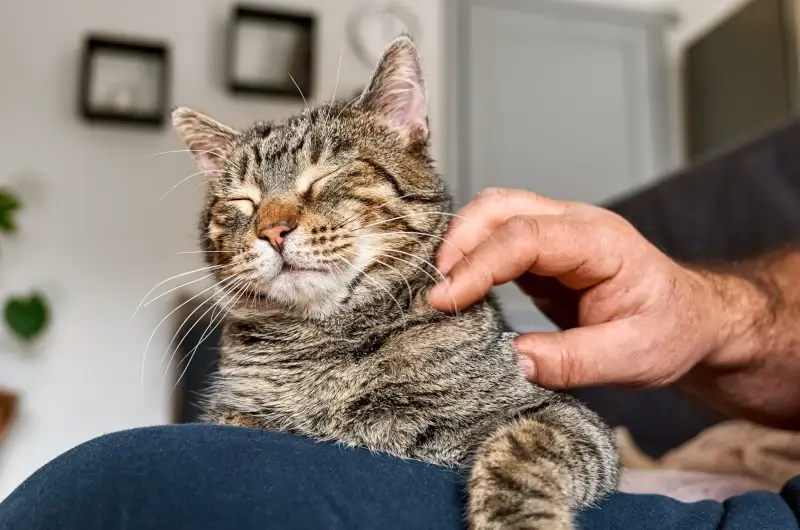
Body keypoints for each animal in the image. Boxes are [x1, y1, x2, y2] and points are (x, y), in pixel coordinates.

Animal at [170, 35, 620, 524]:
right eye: (242, 200)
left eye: (327, 174)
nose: (272, 231)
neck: (330, 344)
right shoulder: (233, 412)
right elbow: (236, 420)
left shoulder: (563, 418)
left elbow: (519, 450)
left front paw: (517, 521)